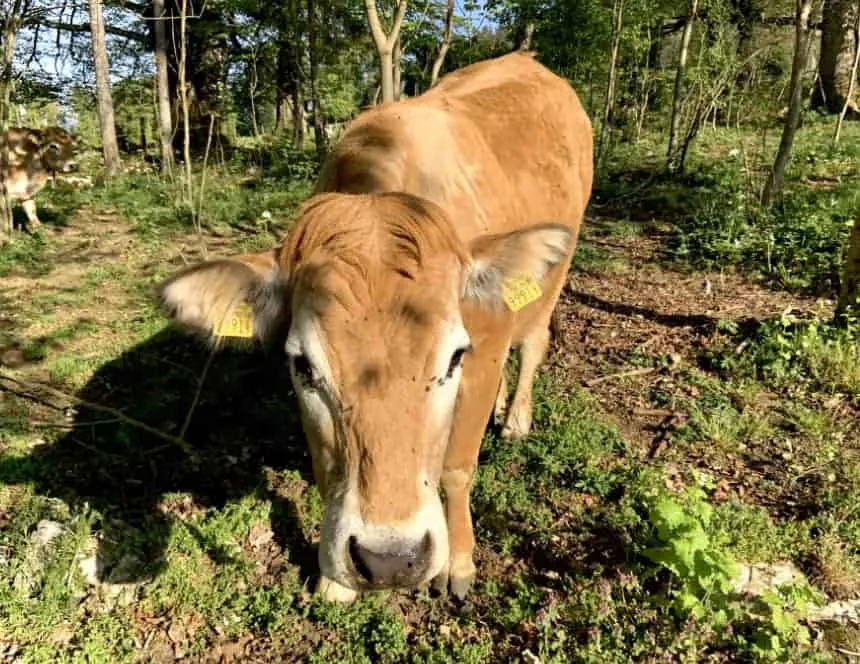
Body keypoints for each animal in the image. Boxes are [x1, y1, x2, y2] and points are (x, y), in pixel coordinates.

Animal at [156, 52, 593, 603]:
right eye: (303, 365)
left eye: (454, 358)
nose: (389, 560)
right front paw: (332, 581)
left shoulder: (486, 350)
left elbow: (456, 468)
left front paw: (460, 560)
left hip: (556, 275)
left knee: (535, 341)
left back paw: (514, 418)